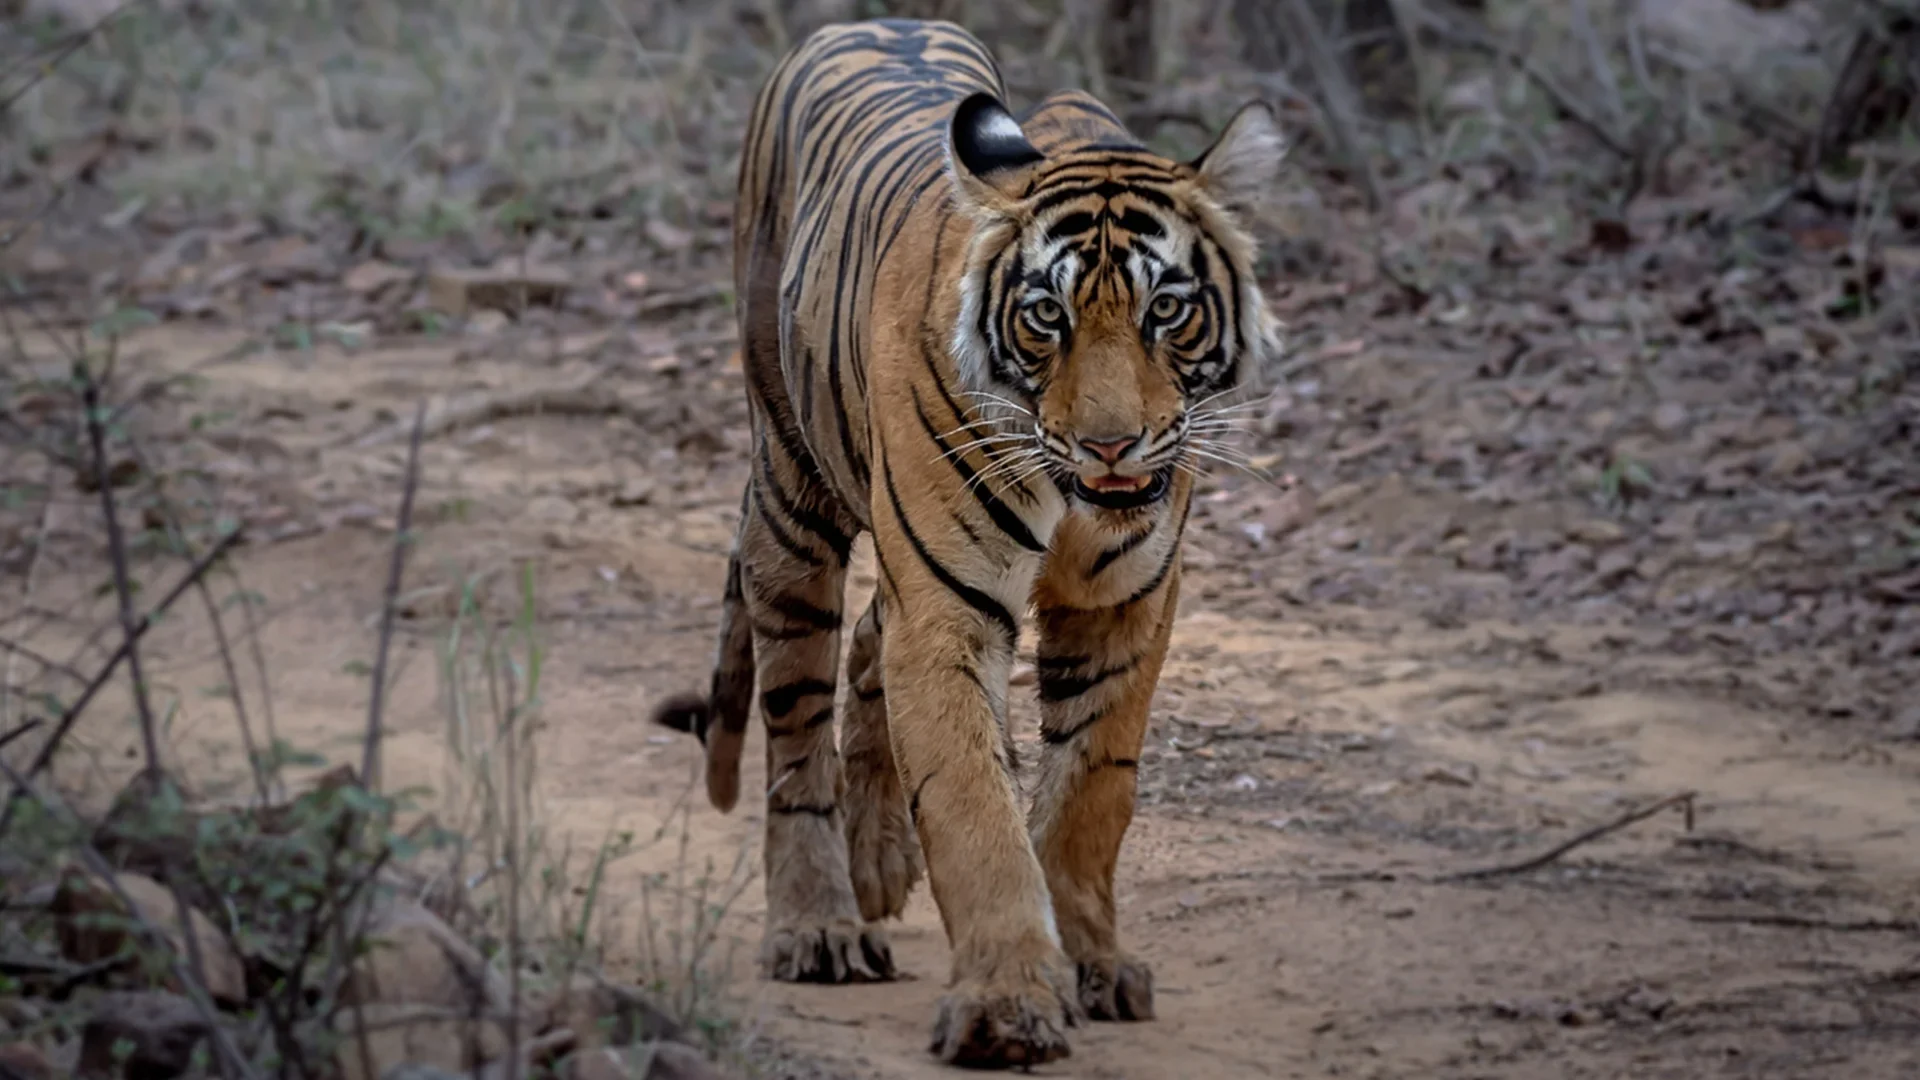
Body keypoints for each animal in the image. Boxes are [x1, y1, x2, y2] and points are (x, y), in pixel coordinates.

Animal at [650, 18, 1286, 1069]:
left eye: (1165, 308)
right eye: (1046, 317)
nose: (1110, 443)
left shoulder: (1124, 604)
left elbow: (1090, 792)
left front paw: (1095, 964)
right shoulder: (947, 608)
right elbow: (972, 802)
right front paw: (1007, 1004)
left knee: (869, 643)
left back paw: (875, 862)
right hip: (791, 498)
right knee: (797, 730)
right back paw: (818, 925)